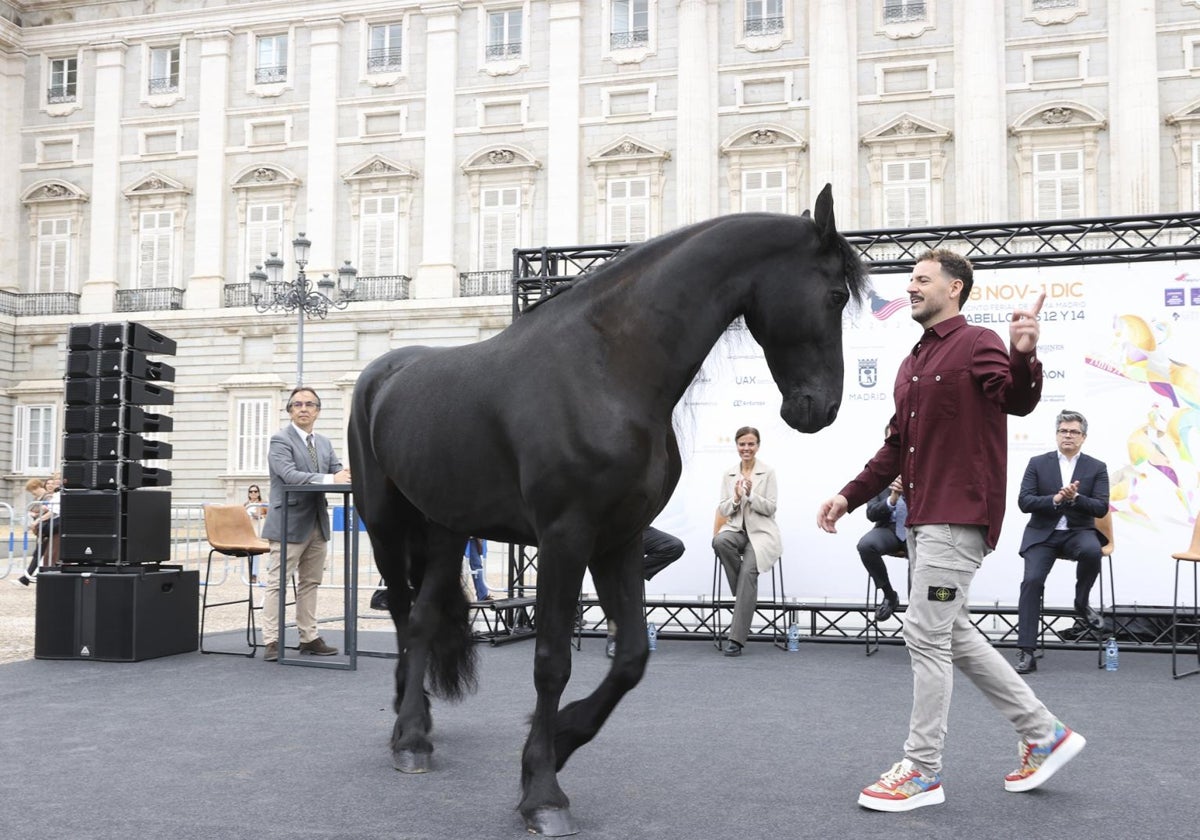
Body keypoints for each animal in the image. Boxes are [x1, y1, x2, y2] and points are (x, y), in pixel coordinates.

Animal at [348, 187, 864, 835]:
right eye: (836, 295)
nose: (820, 408)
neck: (605, 367)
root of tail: (380, 375)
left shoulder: (621, 537)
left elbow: (633, 658)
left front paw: (561, 740)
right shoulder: (565, 538)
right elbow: (550, 662)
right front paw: (543, 792)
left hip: (447, 532)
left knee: (419, 620)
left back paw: (416, 726)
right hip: (385, 525)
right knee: (401, 614)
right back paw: (407, 733)